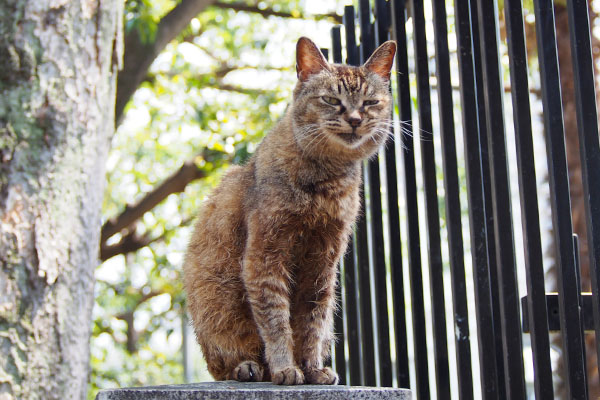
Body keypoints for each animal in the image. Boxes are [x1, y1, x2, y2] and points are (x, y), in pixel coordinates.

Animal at [185, 37, 396, 384]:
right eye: (331, 99)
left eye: (369, 102)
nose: (355, 119)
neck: (324, 183)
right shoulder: (265, 256)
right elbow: (275, 320)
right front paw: (285, 367)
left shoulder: (323, 262)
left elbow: (311, 321)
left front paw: (311, 368)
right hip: (216, 301)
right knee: (228, 360)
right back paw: (249, 367)